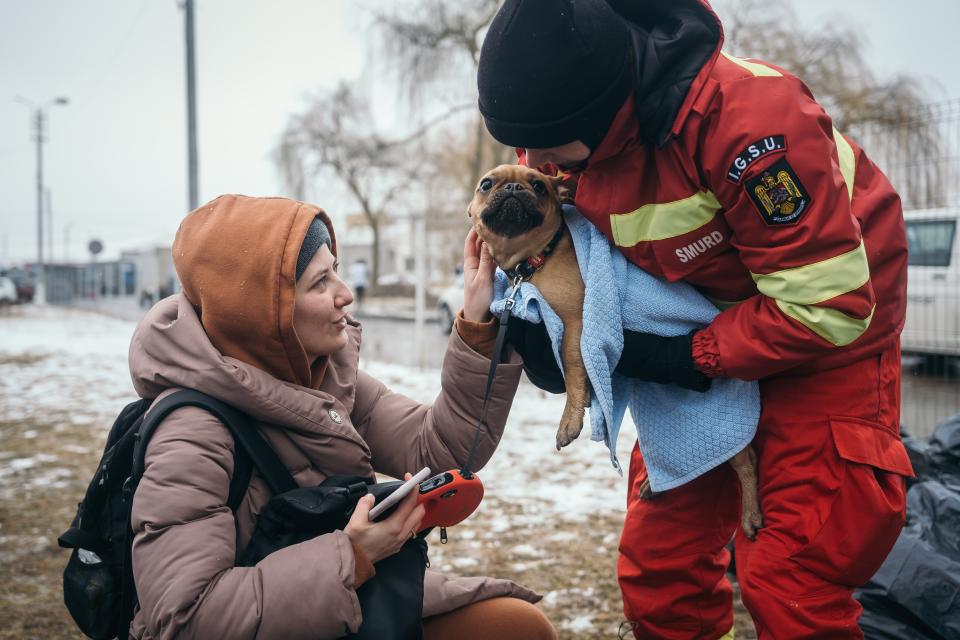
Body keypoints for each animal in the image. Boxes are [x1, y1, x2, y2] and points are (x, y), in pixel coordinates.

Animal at [468, 162, 760, 536]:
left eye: (539, 186)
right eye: (486, 184)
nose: (514, 188)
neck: (532, 260)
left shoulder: (574, 325)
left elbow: (574, 372)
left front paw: (569, 420)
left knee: (745, 462)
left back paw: (750, 514)